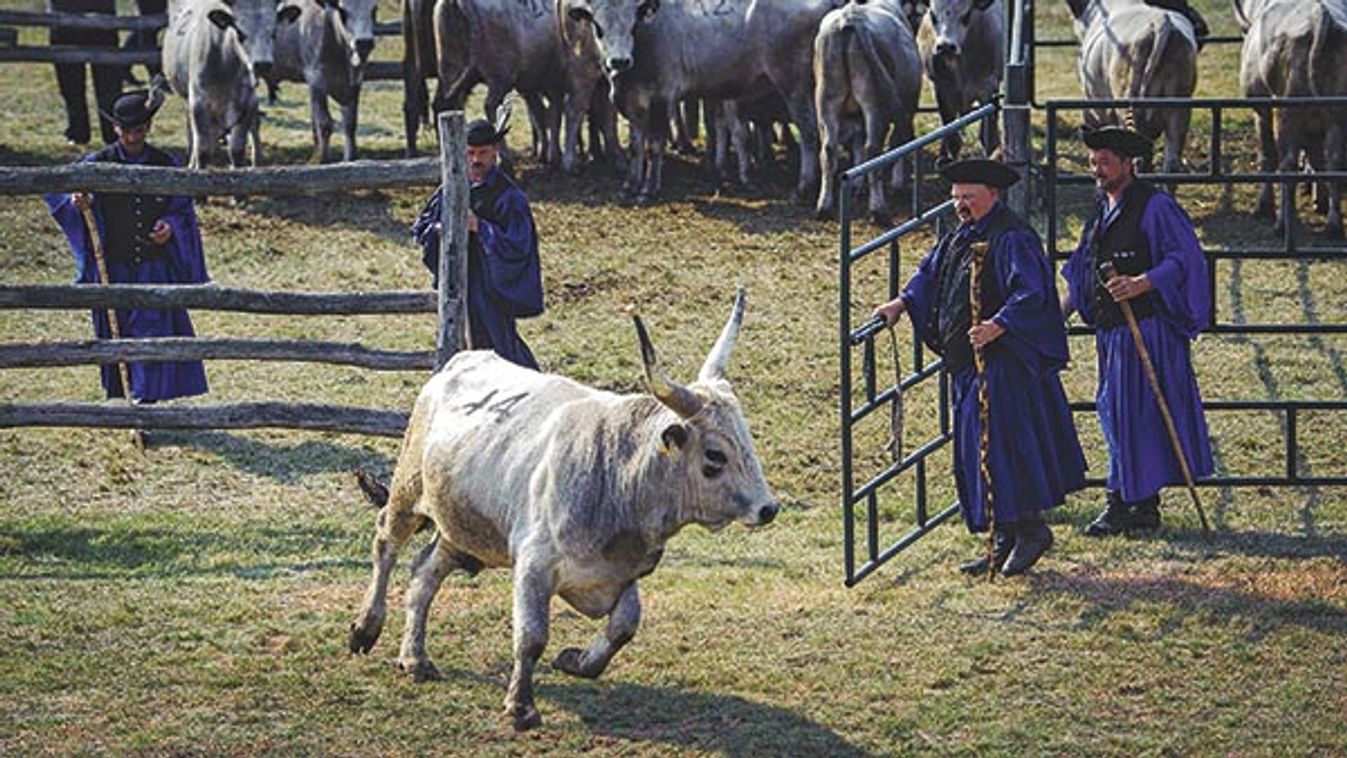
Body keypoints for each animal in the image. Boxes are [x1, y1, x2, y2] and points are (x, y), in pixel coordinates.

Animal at [266, 0, 377, 164]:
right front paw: (321, 159)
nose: (364, 42)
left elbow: (350, 123)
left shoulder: (355, 82)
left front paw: (350, 158)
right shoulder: (316, 78)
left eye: (374, 10)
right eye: (343, 11)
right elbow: (324, 123)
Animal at [347, 288, 781, 732]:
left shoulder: (626, 572)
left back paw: (414, 657)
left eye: (746, 439)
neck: (617, 470)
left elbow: (624, 626)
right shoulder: (533, 565)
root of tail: (458, 362)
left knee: (424, 572)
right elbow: (531, 636)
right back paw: (366, 628)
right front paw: (521, 706)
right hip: (408, 491)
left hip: (460, 529)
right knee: (386, 545)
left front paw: (578, 661)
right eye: (715, 455)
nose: (768, 508)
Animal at [1233, 0, 1341, 236]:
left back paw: (1283, 222)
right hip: (1335, 117)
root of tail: (1319, 15)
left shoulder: (1262, 112)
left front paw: (1263, 207)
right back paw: (1333, 224)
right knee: (1335, 161)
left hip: (1286, 114)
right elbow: (1317, 160)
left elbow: (1267, 157)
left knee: (1287, 162)